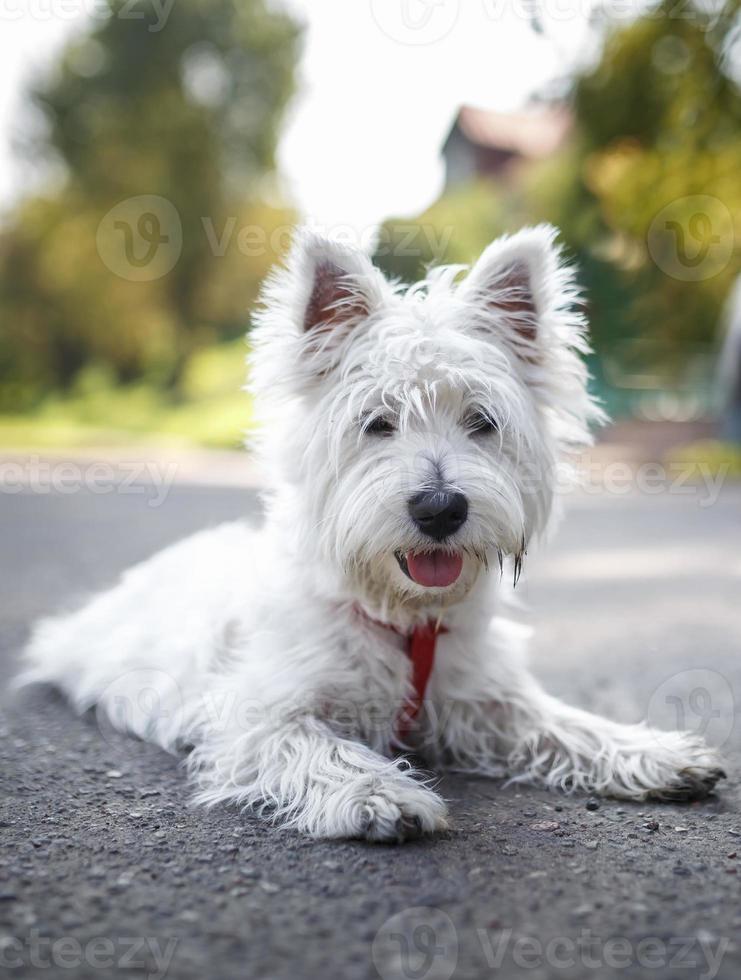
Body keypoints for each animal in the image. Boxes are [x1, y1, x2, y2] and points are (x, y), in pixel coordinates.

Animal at [21, 228, 724, 844]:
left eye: (482, 421)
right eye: (377, 422)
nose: (440, 508)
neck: (402, 618)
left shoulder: (481, 700)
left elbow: (563, 724)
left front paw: (655, 753)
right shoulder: (258, 713)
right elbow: (320, 747)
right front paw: (381, 794)